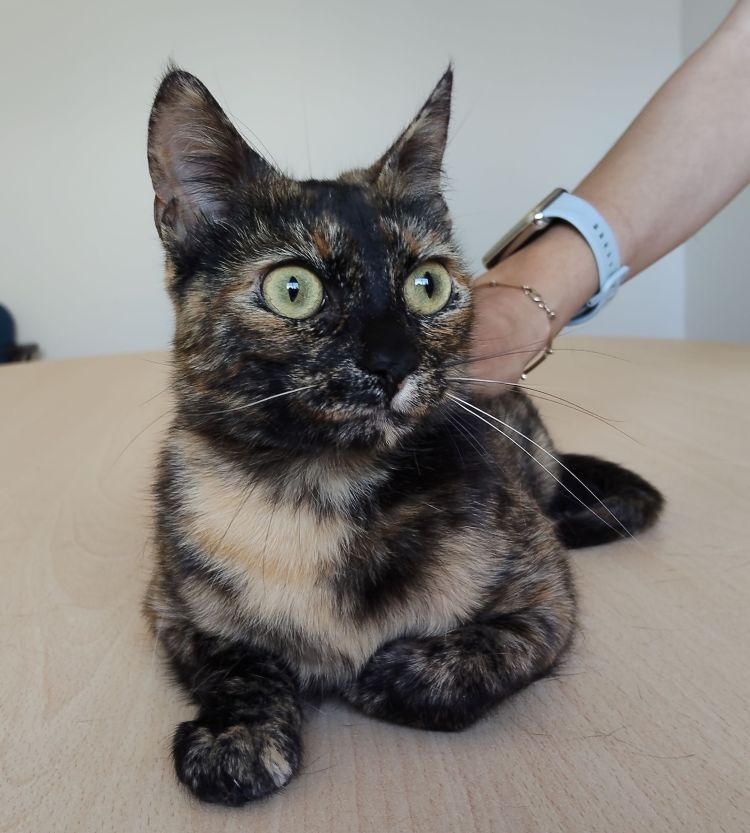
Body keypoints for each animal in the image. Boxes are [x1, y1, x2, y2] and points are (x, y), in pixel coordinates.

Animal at [144, 64, 663, 806]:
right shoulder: (171, 608)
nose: (392, 361)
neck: (322, 492)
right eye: (293, 288)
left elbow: (479, 655)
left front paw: (387, 673)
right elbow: (238, 663)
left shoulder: (548, 600)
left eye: (429, 285)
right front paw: (236, 737)